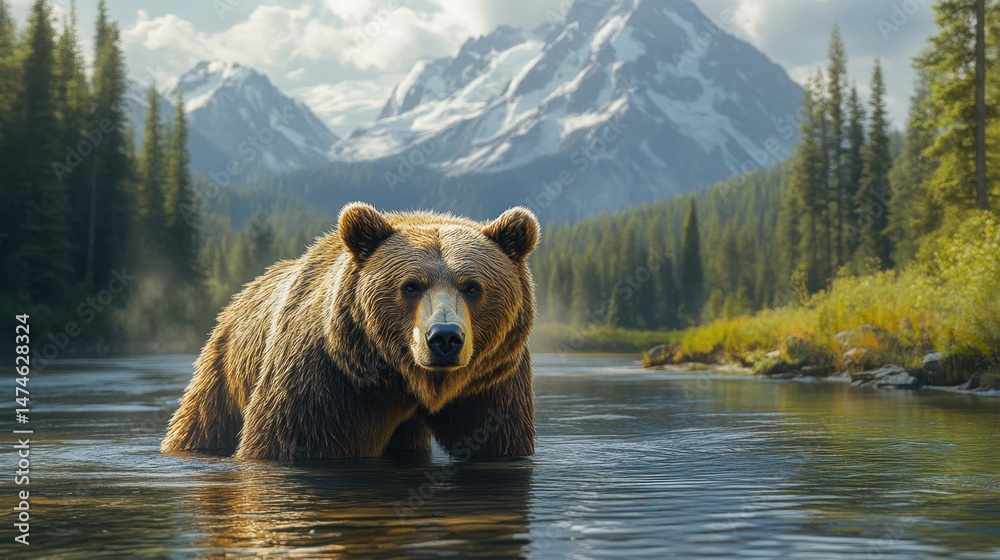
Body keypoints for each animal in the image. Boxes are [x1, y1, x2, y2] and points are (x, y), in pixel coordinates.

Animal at [161, 202, 539, 462]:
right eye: (411, 286)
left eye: (472, 286)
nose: (444, 338)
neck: (402, 381)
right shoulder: (327, 382)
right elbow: (286, 440)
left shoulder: (491, 383)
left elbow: (499, 441)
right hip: (224, 368)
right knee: (202, 421)